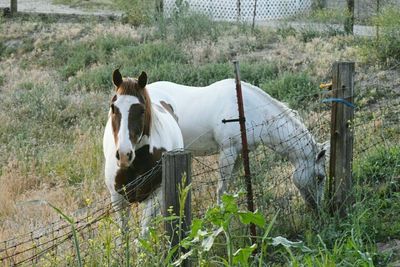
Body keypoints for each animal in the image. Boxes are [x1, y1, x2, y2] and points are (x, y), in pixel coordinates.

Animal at [103, 69, 184, 234]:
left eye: (141, 110)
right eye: (113, 107)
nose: (124, 155)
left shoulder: (155, 195)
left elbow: (144, 233)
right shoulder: (117, 198)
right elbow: (124, 233)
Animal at [147, 79, 328, 209]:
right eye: (320, 177)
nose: (319, 208)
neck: (251, 110)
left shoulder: (240, 153)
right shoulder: (228, 151)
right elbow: (221, 188)